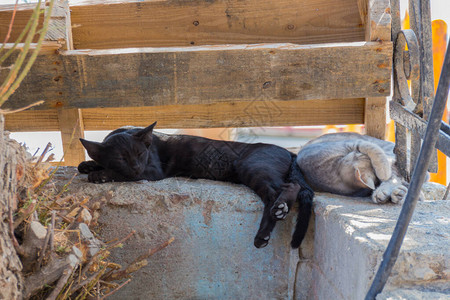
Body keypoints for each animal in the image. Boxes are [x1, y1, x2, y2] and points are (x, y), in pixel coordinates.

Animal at [77, 122, 312, 248]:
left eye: (140, 154)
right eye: (121, 158)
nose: (135, 166)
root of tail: (290, 152)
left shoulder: (151, 170)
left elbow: (118, 174)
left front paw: (98, 174)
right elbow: (90, 163)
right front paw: (88, 165)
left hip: (252, 167)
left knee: (286, 189)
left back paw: (276, 214)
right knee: (279, 193)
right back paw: (265, 233)